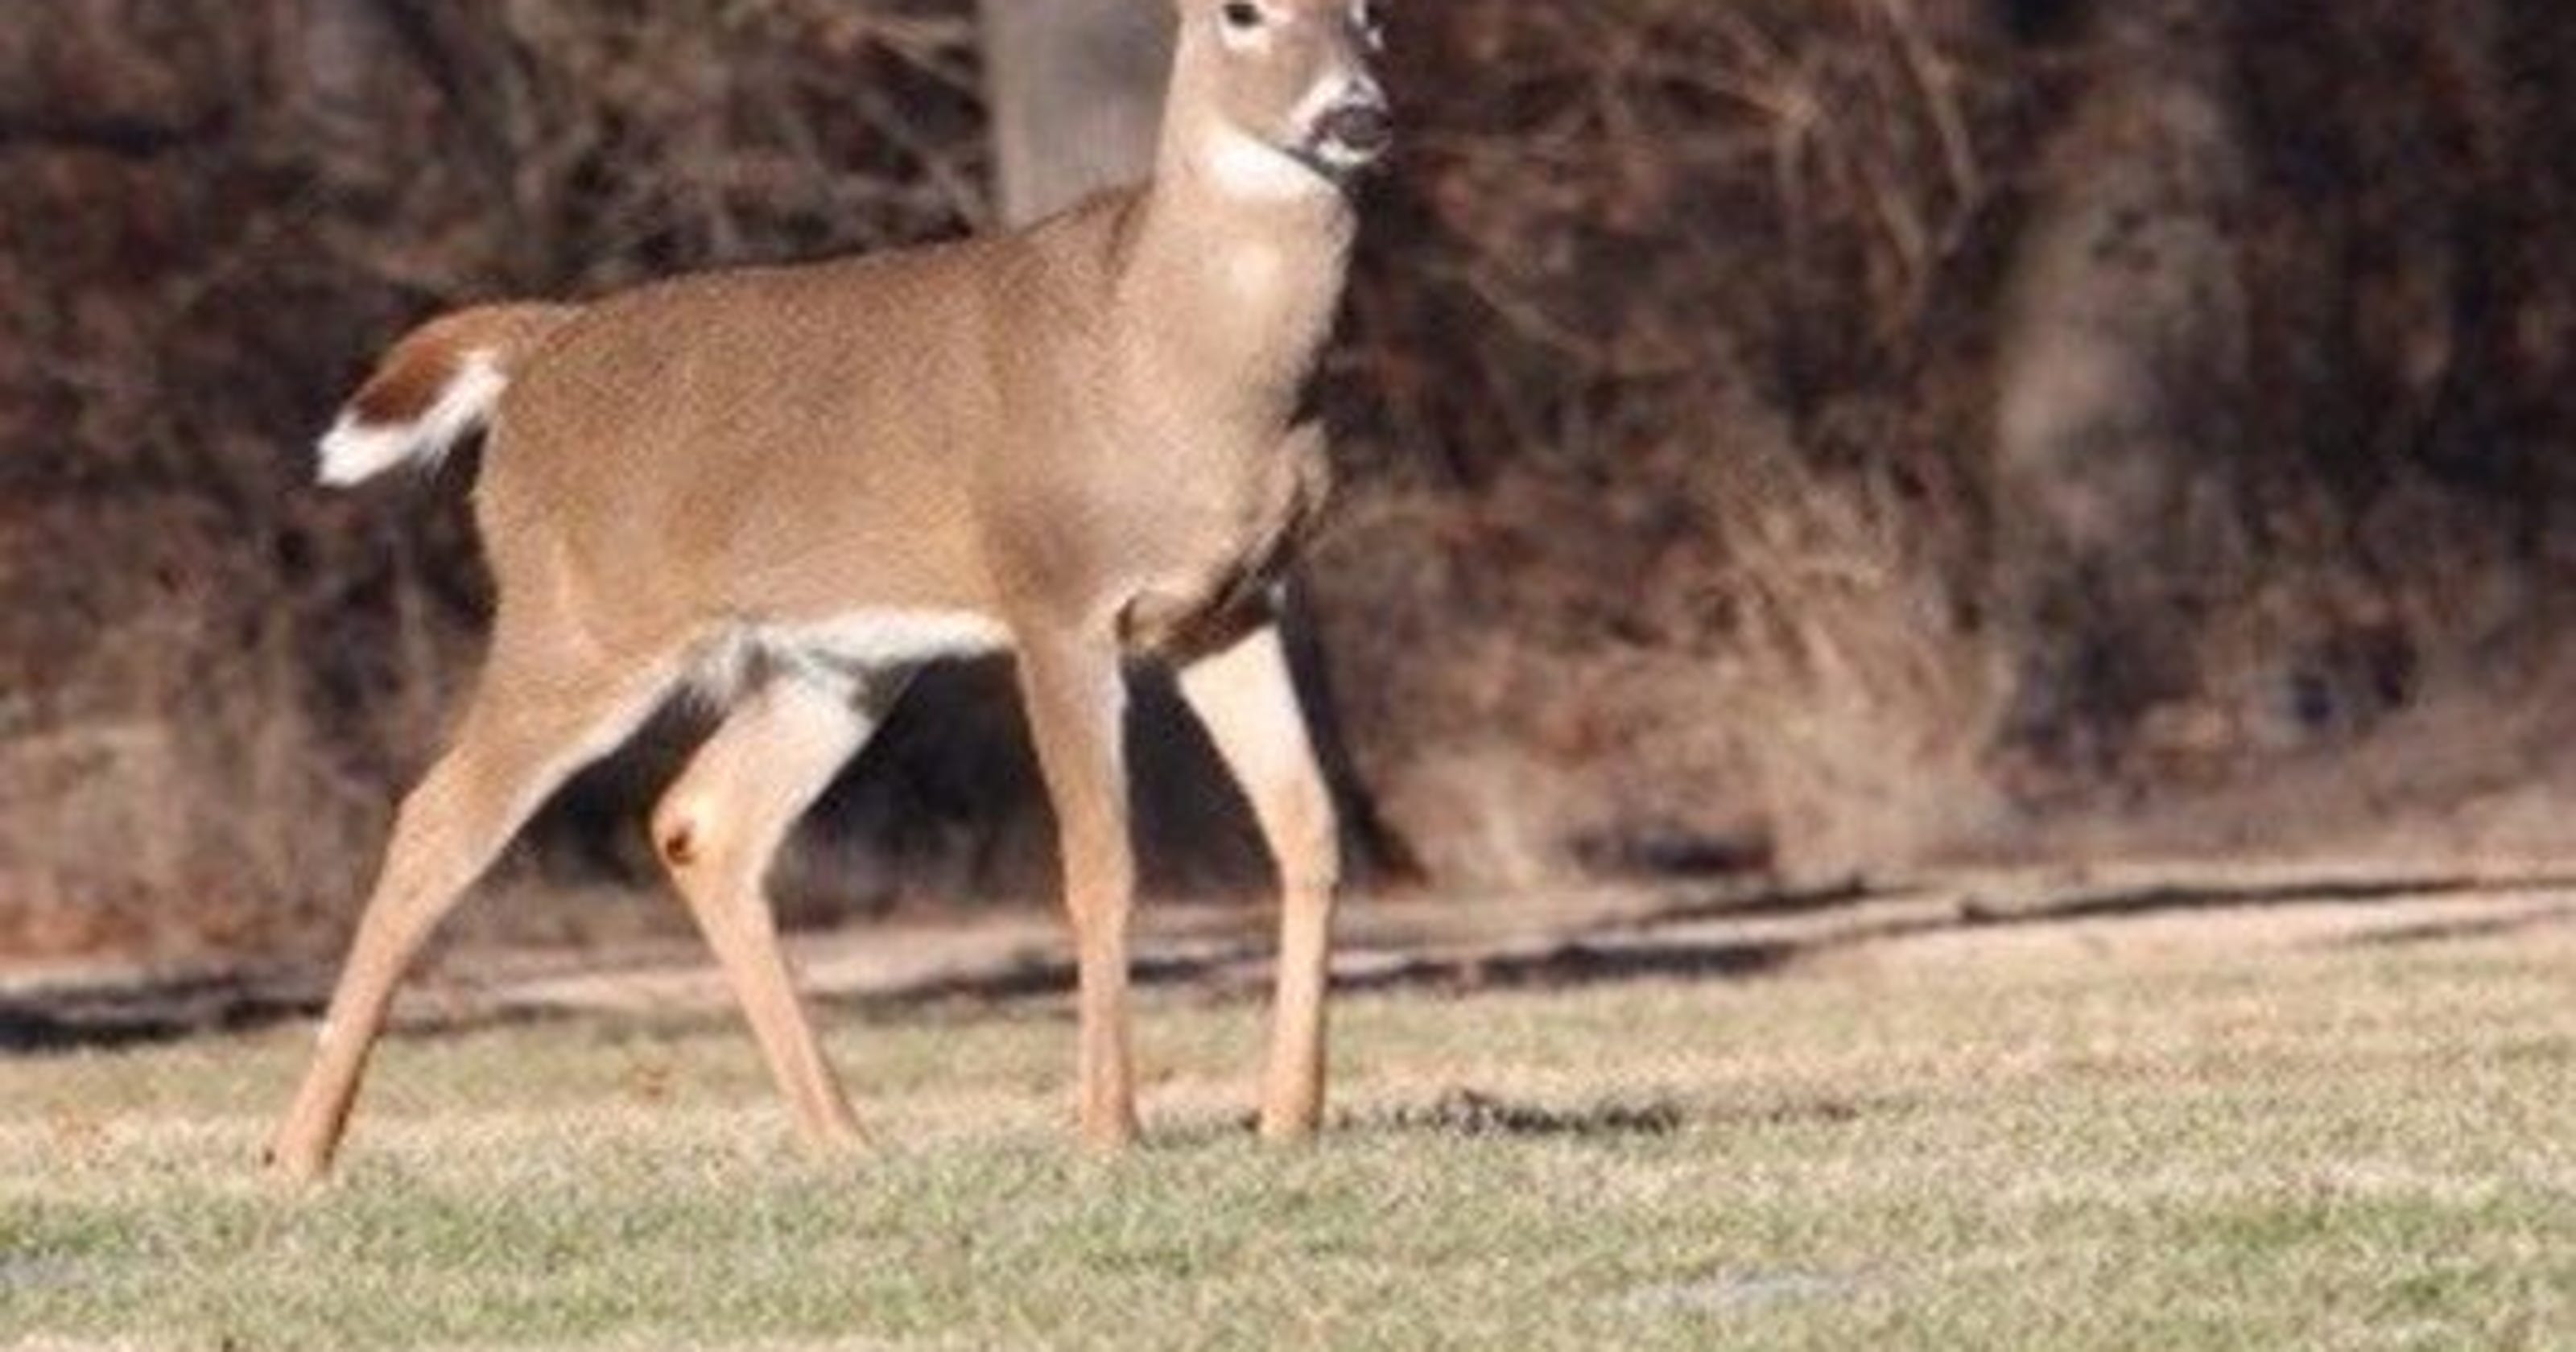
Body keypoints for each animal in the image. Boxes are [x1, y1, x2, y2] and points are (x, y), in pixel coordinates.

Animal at [266, 0, 1393, 1182]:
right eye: (1240, 12)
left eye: (1369, 13)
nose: (1357, 114)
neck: (1183, 369)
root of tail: (535, 354)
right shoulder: (1054, 596)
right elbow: (1100, 861)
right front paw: (1107, 1129)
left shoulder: (1232, 609)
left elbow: (1308, 829)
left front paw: (1289, 1116)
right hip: (579, 620)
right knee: (437, 818)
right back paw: (297, 1155)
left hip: (834, 666)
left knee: (704, 821)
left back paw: (844, 1134)